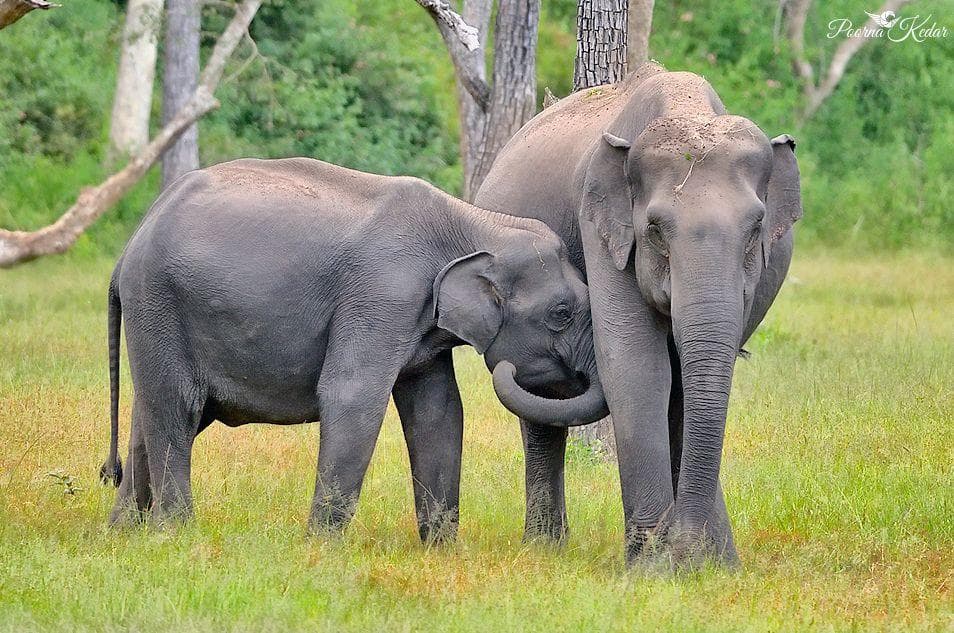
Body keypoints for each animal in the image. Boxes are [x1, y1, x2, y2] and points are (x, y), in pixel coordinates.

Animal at [99, 157, 609, 542]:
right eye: (562, 313)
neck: (473, 223)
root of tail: (126, 250)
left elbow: (439, 410)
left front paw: (442, 552)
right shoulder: (381, 295)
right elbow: (352, 397)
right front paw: (320, 550)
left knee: (152, 413)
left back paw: (124, 534)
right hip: (158, 301)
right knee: (177, 406)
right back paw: (177, 535)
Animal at [475, 63, 803, 567]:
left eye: (755, 230)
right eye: (655, 230)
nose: (679, 543)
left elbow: (693, 378)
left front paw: (710, 564)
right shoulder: (602, 231)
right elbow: (637, 366)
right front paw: (652, 566)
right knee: (540, 401)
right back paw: (544, 549)